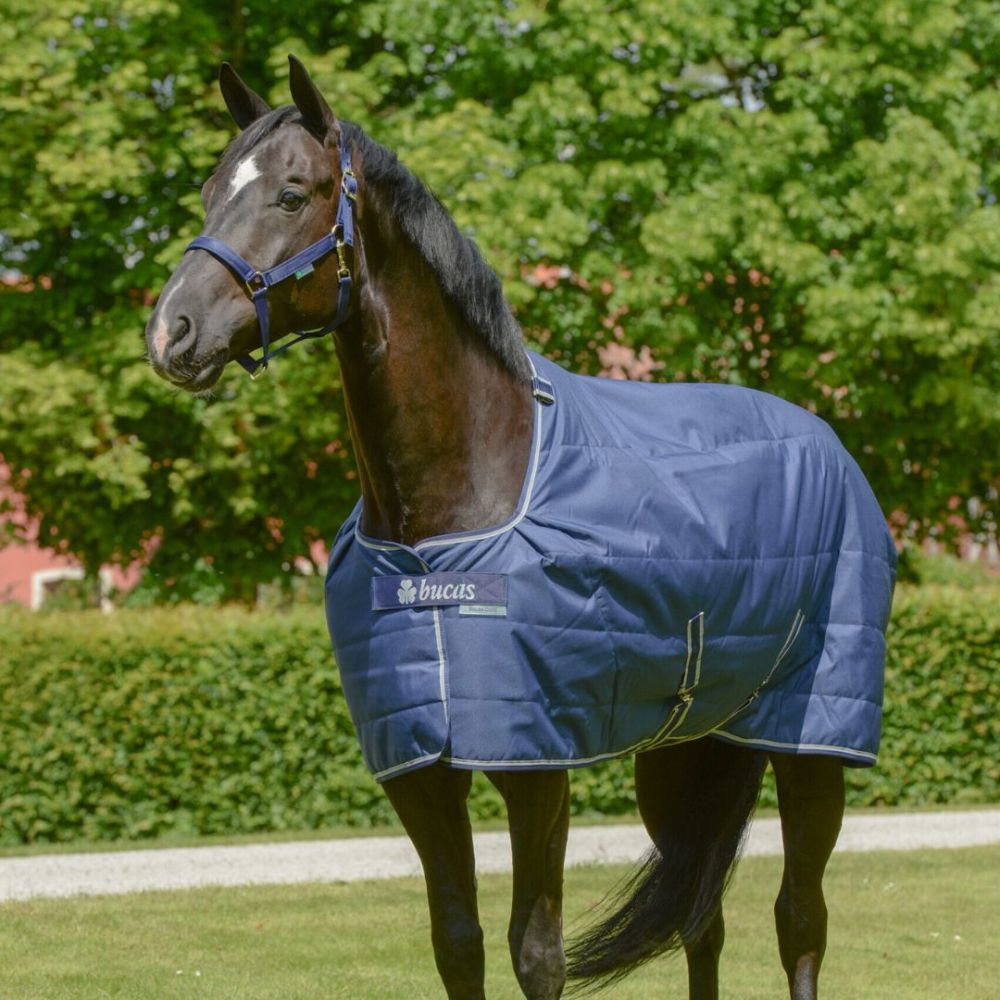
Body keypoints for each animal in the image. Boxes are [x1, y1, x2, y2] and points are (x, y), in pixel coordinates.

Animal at [145, 57, 896, 999]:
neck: (448, 520)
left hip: (812, 742)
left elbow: (536, 953)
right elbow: (457, 943)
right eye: (210, 193)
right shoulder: (422, 773)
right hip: (687, 751)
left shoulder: (536, 769)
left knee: (799, 919)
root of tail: (826, 440)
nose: (171, 332)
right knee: (701, 919)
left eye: (290, 194)